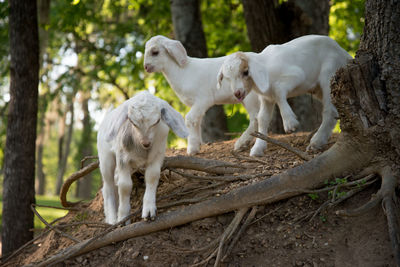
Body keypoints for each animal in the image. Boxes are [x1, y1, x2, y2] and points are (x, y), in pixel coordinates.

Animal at [98, 90, 189, 224]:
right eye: (132, 122)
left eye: (157, 121)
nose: (146, 143)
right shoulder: (122, 158)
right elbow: (125, 186)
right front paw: (123, 218)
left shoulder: (157, 154)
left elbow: (152, 177)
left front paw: (149, 211)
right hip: (105, 158)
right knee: (108, 186)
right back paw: (112, 219)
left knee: (114, 181)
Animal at [217, 35, 352, 157]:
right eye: (227, 78)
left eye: (246, 72)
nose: (237, 93)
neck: (265, 68)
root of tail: (345, 55)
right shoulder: (266, 98)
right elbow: (262, 118)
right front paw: (257, 149)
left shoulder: (297, 76)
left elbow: (278, 90)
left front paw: (290, 123)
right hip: (318, 89)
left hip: (329, 74)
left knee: (329, 110)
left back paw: (316, 142)